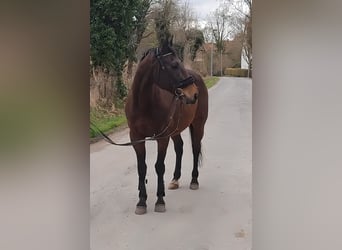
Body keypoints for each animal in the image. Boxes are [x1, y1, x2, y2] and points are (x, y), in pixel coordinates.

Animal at [124, 39, 207, 215]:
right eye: (174, 65)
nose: (193, 94)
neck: (143, 103)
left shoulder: (162, 138)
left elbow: (159, 166)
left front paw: (160, 200)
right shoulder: (136, 138)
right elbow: (142, 167)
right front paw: (141, 201)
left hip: (198, 125)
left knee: (195, 149)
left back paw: (194, 180)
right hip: (174, 130)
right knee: (179, 148)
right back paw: (175, 179)